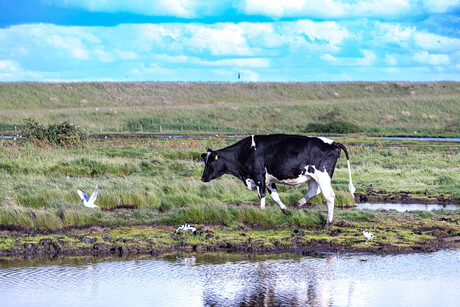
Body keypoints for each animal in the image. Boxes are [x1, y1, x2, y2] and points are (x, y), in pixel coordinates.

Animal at [200, 135, 356, 226]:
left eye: (210, 162)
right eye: (205, 161)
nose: (203, 178)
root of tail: (334, 142)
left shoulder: (259, 175)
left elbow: (261, 195)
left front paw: (261, 212)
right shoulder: (268, 180)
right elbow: (274, 196)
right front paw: (284, 209)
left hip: (322, 175)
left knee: (329, 196)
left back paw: (328, 221)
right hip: (312, 177)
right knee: (313, 191)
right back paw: (297, 205)